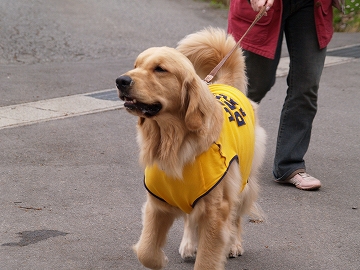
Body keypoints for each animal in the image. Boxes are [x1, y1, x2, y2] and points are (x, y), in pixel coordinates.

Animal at [116, 28, 266, 270]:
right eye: (136, 65)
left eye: (160, 69)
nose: (121, 80)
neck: (173, 142)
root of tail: (224, 83)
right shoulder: (158, 202)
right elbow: (146, 251)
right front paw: (159, 259)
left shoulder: (217, 209)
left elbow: (207, 257)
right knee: (190, 217)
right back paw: (188, 245)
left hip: (243, 182)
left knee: (236, 217)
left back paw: (234, 244)